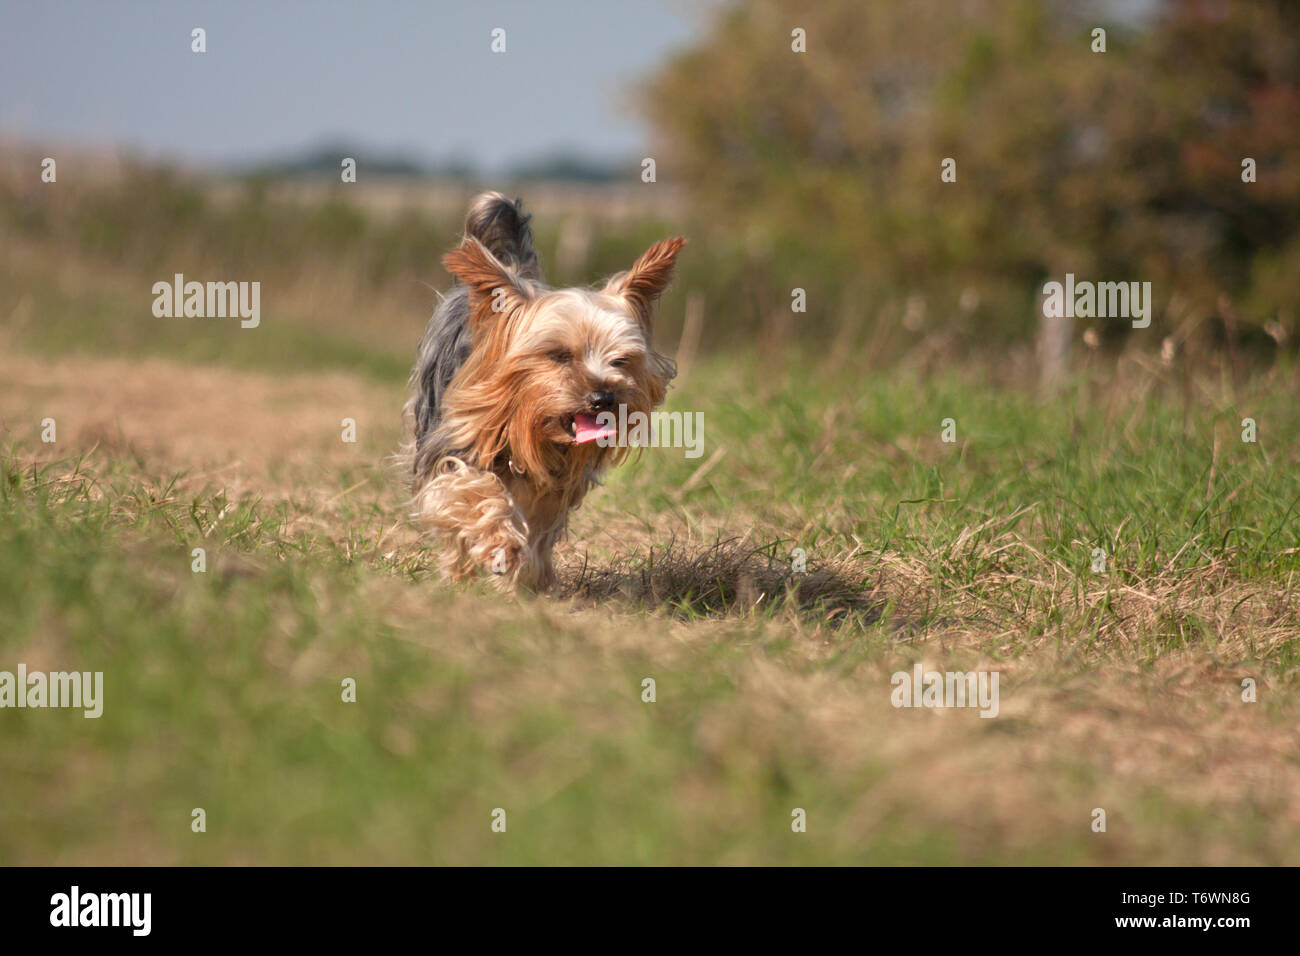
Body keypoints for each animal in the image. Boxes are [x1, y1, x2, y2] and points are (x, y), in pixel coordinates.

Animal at [403, 192, 691, 590]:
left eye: (620, 361)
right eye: (559, 355)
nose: (604, 398)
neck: (526, 428)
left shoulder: (554, 485)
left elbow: (540, 526)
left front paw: (527, 577)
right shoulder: (453, 449)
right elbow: (471, 493)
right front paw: (502, 548)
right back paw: (460, 574)